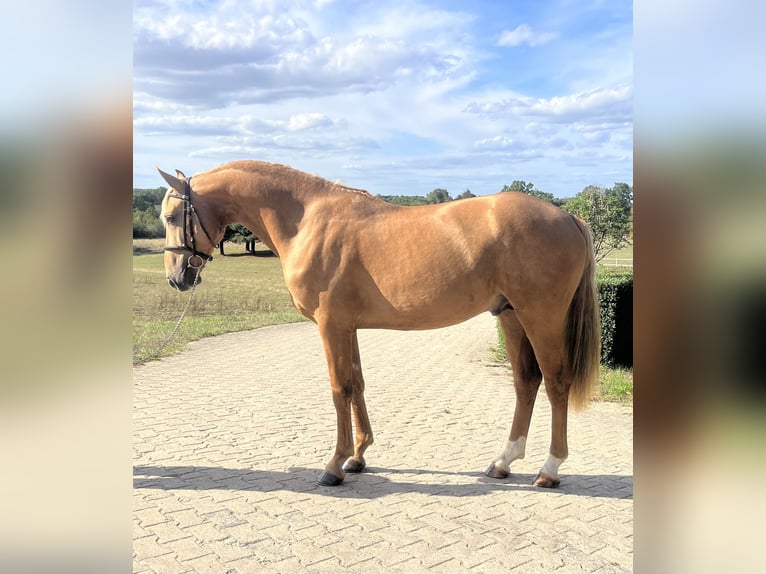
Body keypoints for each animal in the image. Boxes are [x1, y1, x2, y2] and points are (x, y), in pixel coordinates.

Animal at [158, 160, 600, 488]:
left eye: (172, 215)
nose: (177, 277)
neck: (307, 219)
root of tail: (567, 216)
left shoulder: (330, 325)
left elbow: (339, 389)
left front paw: (333, 465)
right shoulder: (347, 326)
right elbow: (357, 385)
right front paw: (357, 457)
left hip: (540, 316)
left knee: (556, 382)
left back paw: (549, 469)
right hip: (510, 316)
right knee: (526, 382)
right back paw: (503, 462)